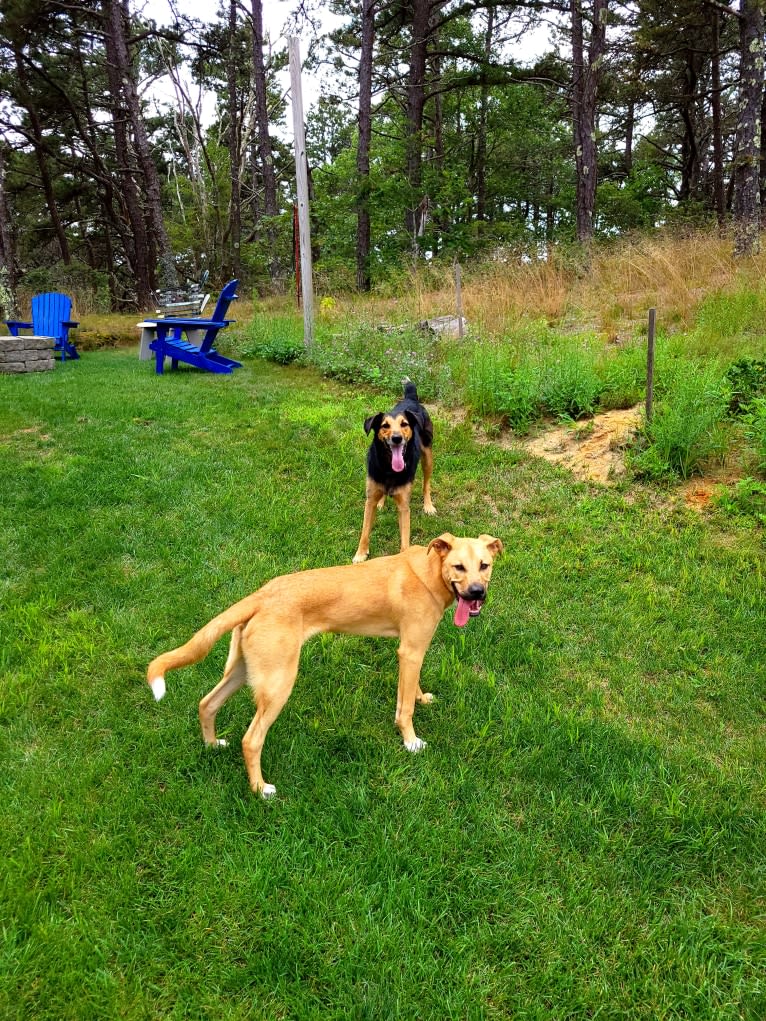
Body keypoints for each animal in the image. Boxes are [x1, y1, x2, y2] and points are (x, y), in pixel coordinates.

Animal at [148, 535, 504, 796]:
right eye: (458, 567)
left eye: (484, 566)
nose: (477, 593)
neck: (430, 572)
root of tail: (261, 595)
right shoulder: (411, 650)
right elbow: (404, 710)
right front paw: (410, 741)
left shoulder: (412, 651)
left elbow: (412, 688)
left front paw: (421, 697)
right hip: (278, 684)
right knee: (251, 740)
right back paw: (261, 789)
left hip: (242, 670)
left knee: (207, 704)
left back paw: (212, 745)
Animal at [353, 377, 437, 563]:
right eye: (385, 426)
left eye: (404, 424)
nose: (397, 438)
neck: (388, 468)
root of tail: (411, 398)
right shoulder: (369, 500)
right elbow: (364, 530)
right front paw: (360, 553)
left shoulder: (404, 506)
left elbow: (405, 540)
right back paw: (382, 502)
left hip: (427, 456)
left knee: (426, 483)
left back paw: (428, 505)